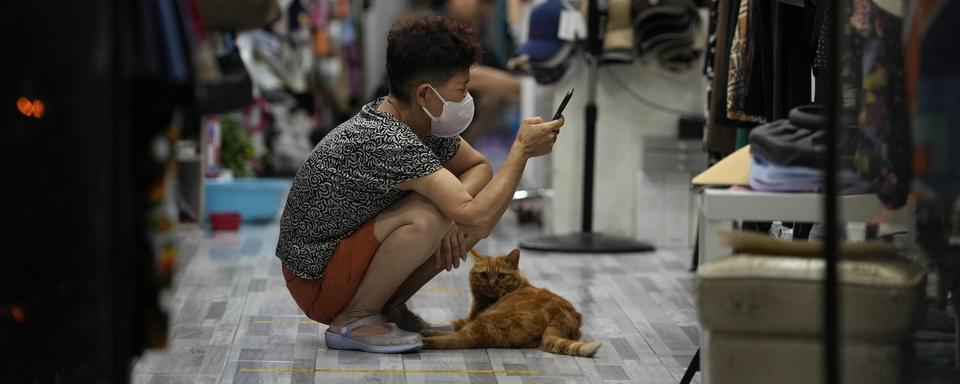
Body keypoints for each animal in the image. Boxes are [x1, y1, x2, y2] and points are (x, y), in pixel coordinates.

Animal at [422, 249, 600, 356]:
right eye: (484, 275)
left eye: (501, 276)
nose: (491, 284)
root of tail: (560, 314)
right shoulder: (468, 318)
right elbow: (449, 323)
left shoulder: (473, 318)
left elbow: (452, 325)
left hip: (487, 322)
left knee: (460, 339)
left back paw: (424, 340)